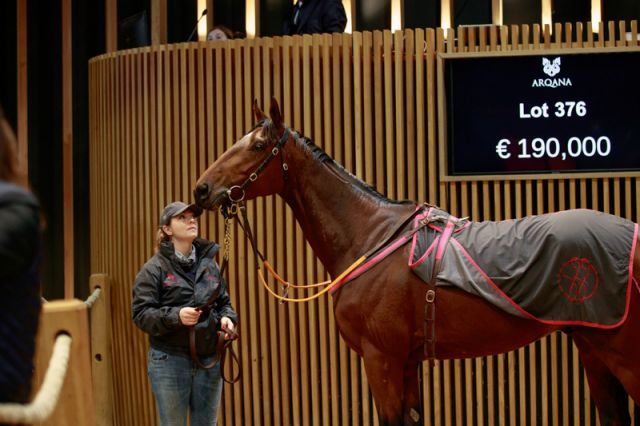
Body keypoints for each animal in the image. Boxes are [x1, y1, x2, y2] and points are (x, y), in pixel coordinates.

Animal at [194, 98, 640, 424]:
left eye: (256, 146)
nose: (201, 190)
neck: (371, 237)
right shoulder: (407, 364)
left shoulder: (382, 360)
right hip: (594, 351)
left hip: (623, 355)